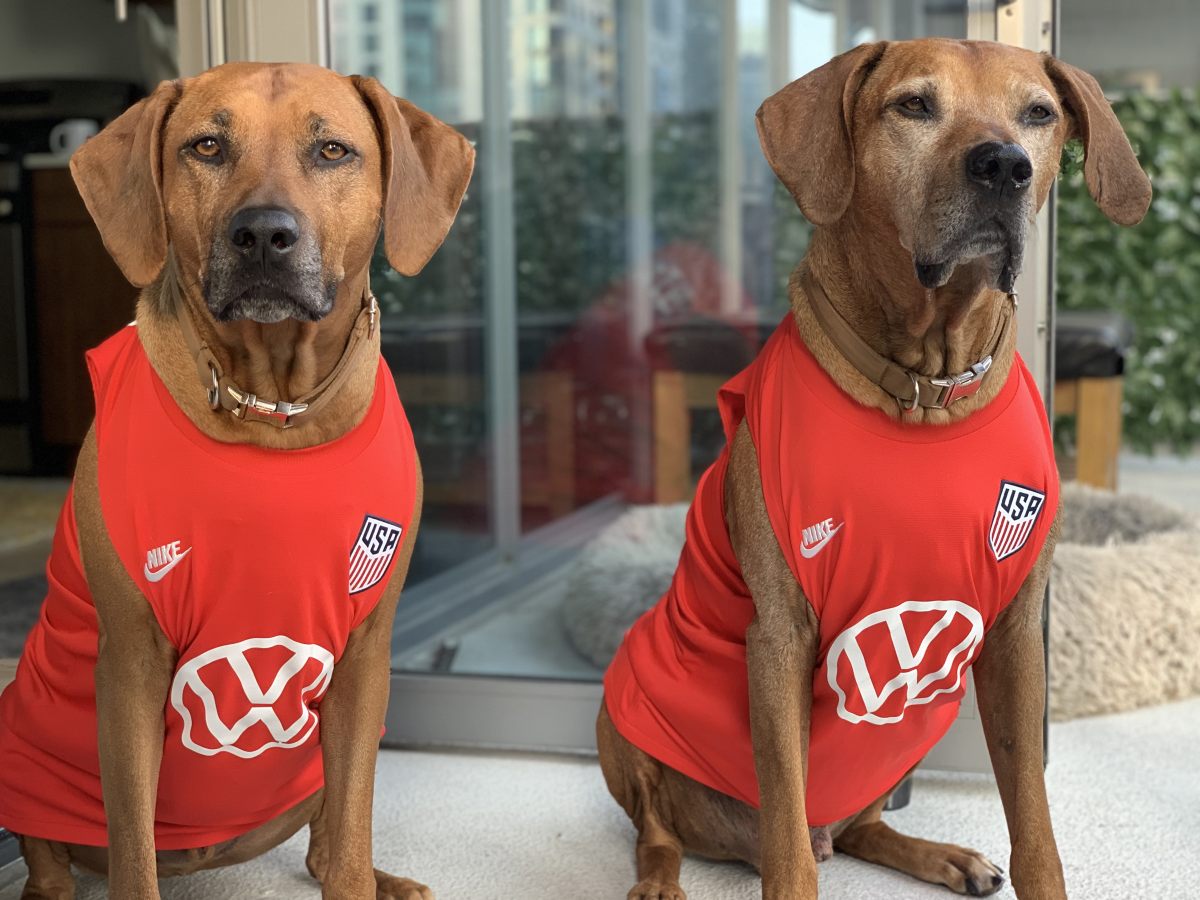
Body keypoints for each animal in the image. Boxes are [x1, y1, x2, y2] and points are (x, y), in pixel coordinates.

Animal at [0, 65, 475, 900]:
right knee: (49, 859)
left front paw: (362, 875)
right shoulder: (130, 664)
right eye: (207, 146)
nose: (262, 234)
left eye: (331, 150)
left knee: (327, 843)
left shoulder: (365, 660)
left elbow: (350, 834)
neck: (272, 406)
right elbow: (133, 854)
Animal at [600, 37, 1152, 900]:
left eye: (1039, 113)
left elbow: (1034, 818)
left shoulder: (1015, 635)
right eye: (913, 106)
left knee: (862, 826)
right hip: (619, 712)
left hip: (916, 725)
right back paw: (660, 878)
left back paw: (943, 856)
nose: (1003, 166)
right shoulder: (779, 637)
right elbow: (787, 837)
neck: (925, 386)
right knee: (661, 829)